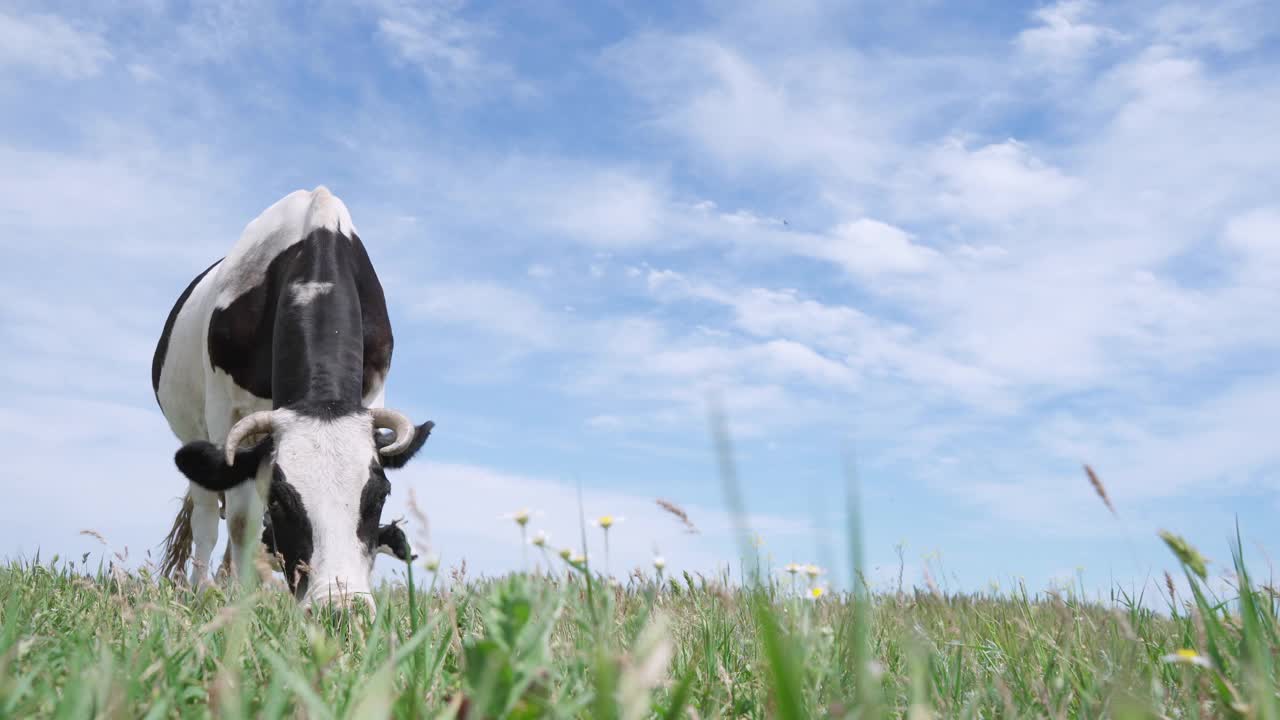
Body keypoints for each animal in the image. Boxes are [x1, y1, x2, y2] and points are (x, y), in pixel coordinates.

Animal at [150, 183, 435, 604]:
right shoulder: (225, 411)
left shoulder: (372, 397)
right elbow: (241, 520)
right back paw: (205, 589)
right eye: (280, 500)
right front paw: (241, 600)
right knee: (207, 515)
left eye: (380, 494)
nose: (340, 608)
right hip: (194, 436)